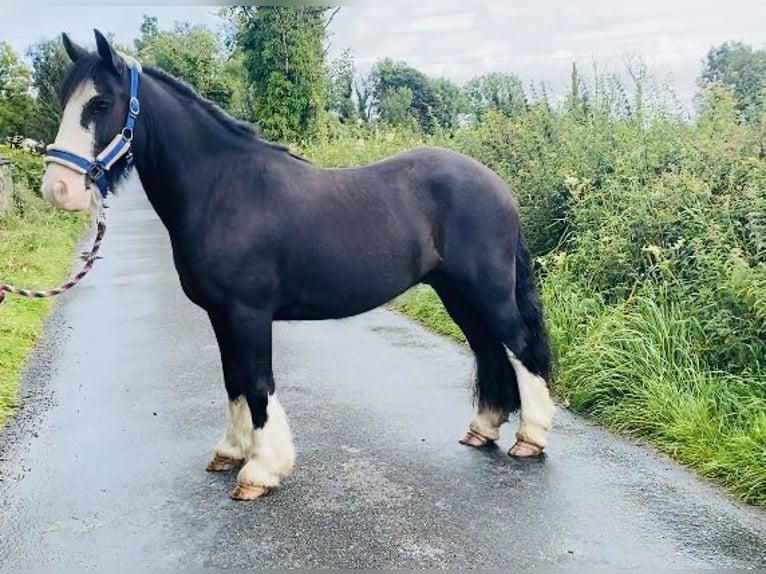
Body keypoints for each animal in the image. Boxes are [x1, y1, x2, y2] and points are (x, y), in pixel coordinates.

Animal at [42, 29, 556, 502]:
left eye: (100, 103)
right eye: (65, 100)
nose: (58, 189)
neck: (222, 189)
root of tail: (496, 184)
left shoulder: (248, 313)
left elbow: (257, 382)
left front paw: (260, 471)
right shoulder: (220, 315)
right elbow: (233, 380)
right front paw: (231, 451)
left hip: (488, 292)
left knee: (518, 347)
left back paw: (530, 438)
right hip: (455, 293)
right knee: (488, 349)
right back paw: (484, 428)